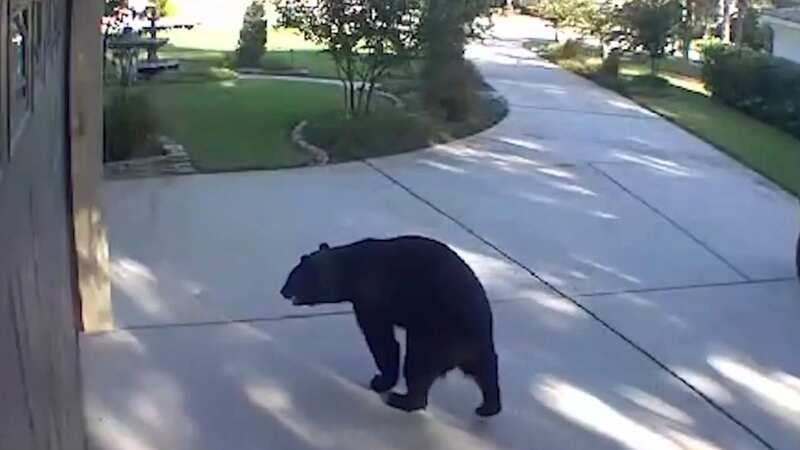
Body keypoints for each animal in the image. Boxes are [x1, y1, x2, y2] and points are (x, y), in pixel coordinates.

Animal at [280, 236, 501, 417]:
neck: (351, 269)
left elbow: (381, 339)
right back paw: (488, 406)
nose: (282, 291)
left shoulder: (372, 296)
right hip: (475, 342)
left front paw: (380, 380)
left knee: (418, 362)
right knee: (485, 369)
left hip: (437, 331)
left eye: (293, 278)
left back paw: (401, 399)